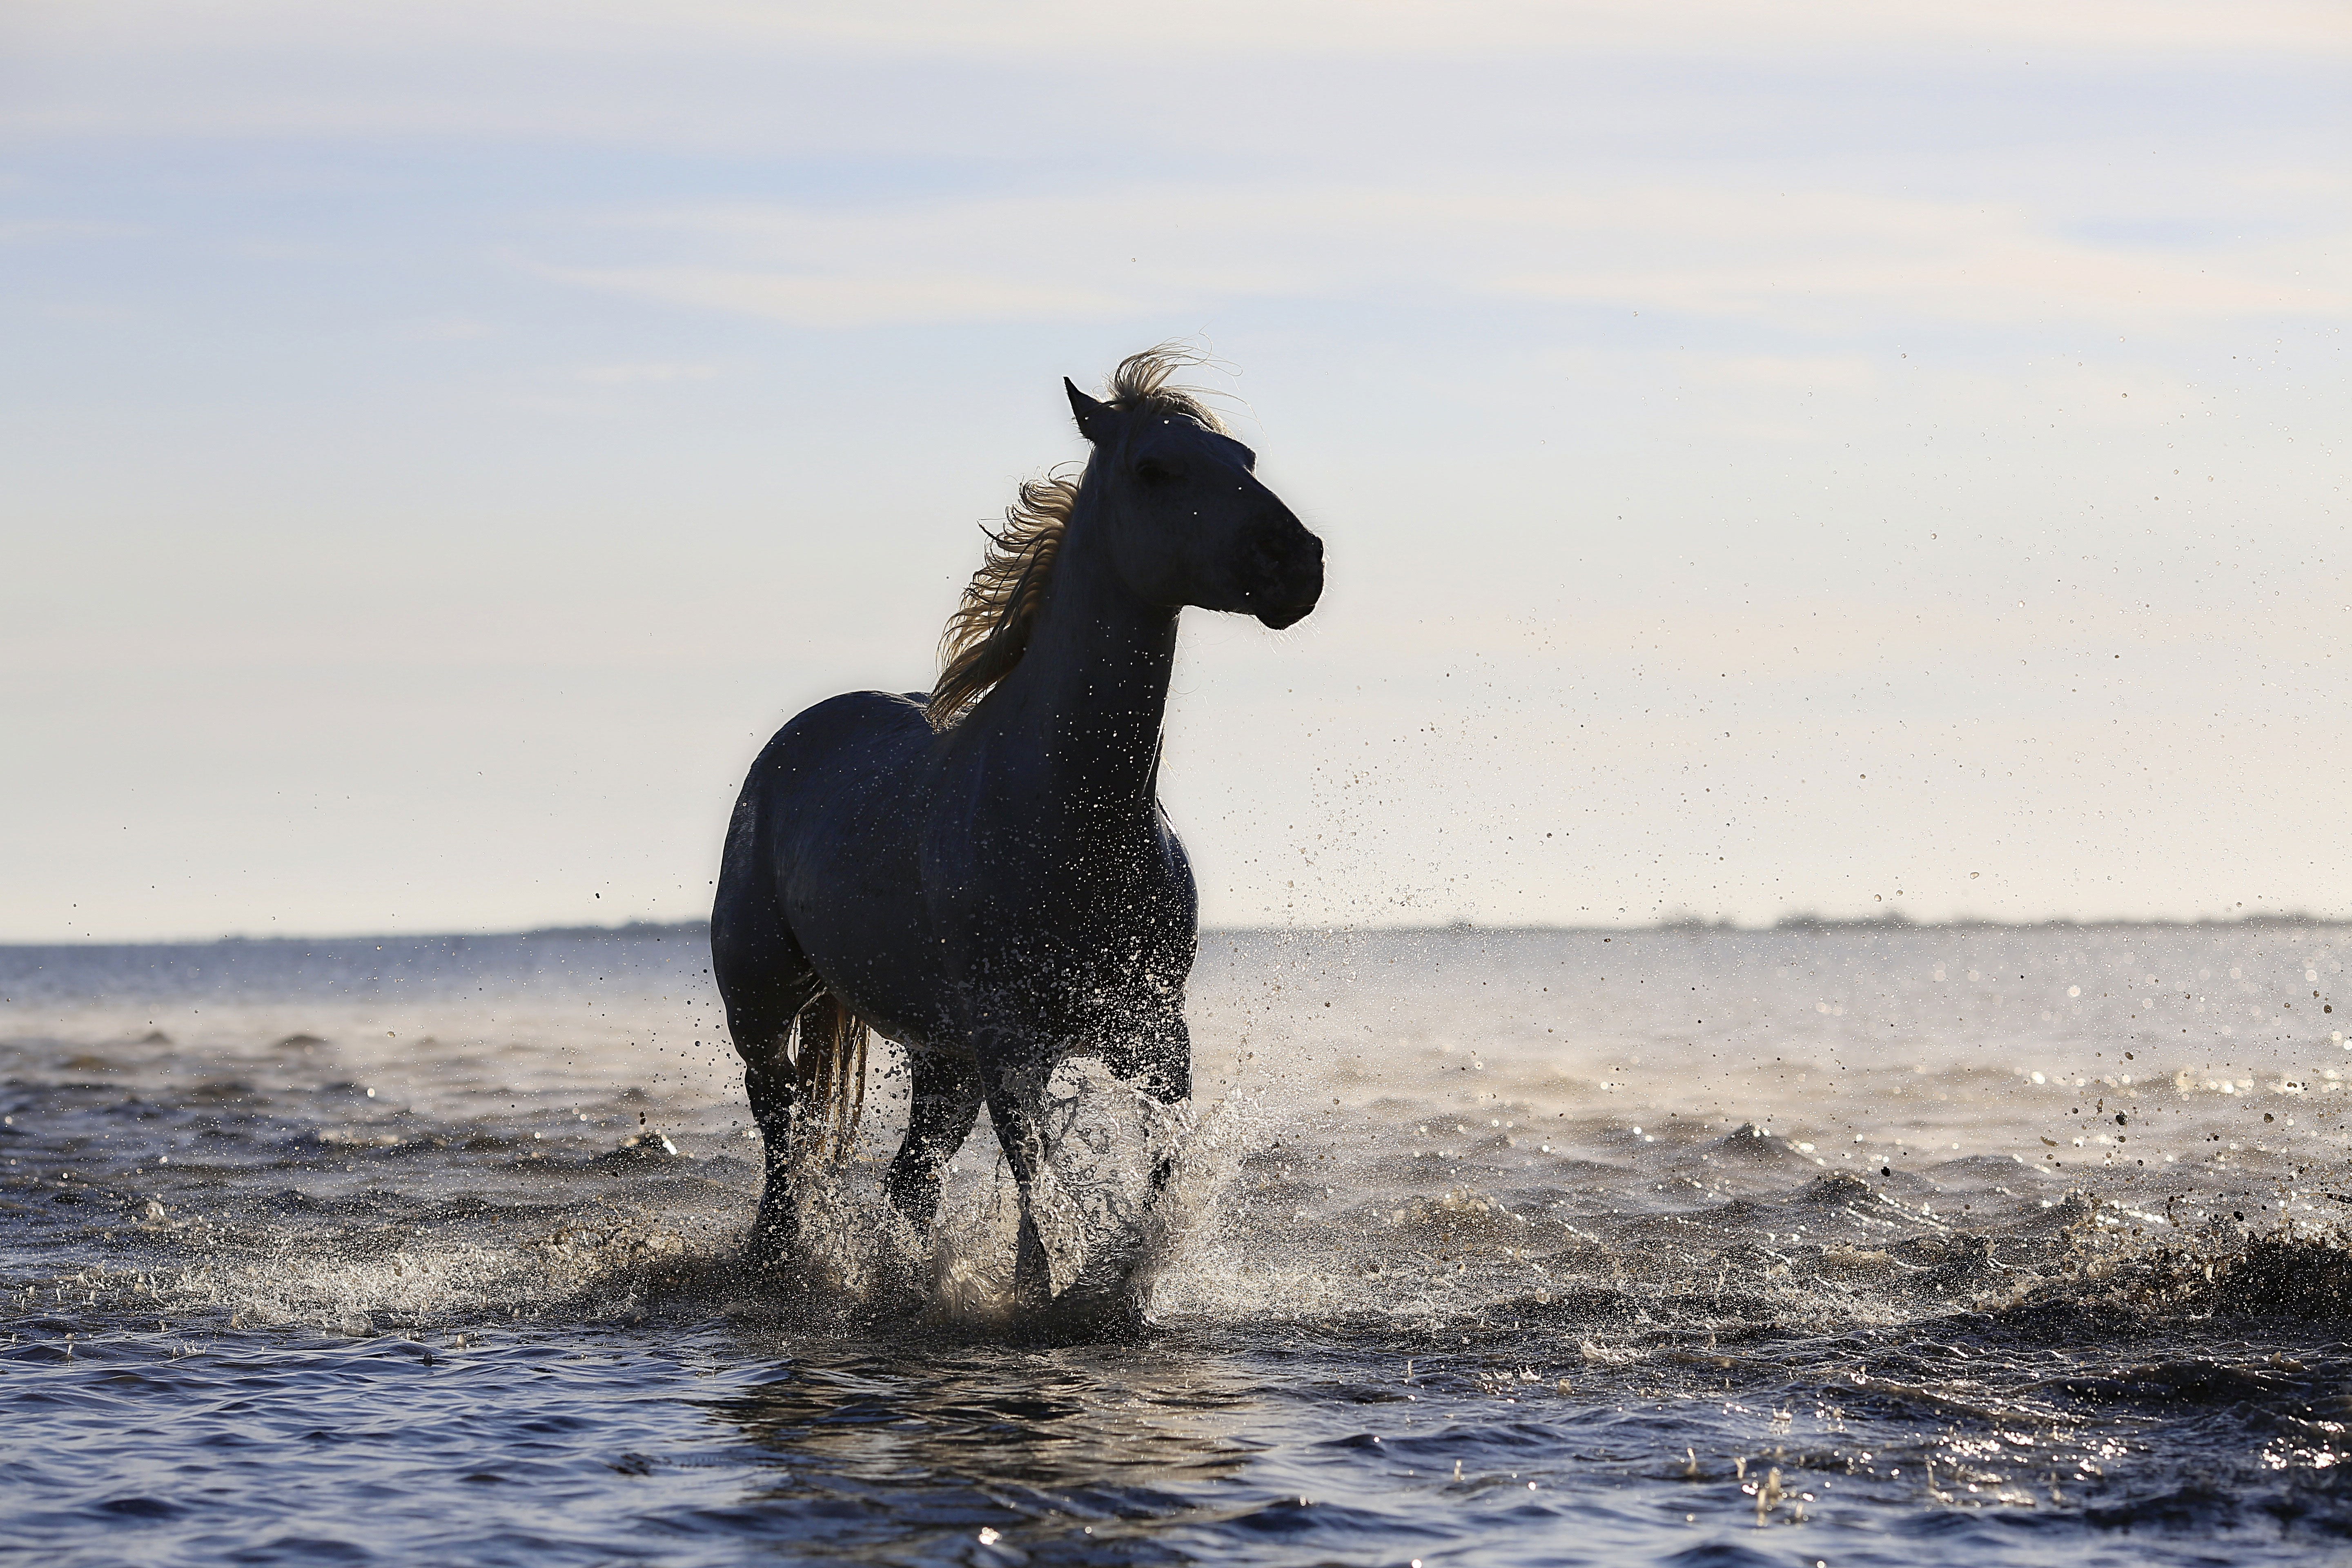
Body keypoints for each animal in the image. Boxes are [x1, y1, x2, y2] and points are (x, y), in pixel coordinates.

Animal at [711, 347, 1324, 1316]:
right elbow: (1039, 1184)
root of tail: (793, 741)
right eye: (1156, 468)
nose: (1298, 563)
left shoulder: (1154, 1034)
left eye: (1246, 459)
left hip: (941, 1059)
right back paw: (778, 1265)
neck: (1073, 816)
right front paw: (1046, 1293)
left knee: (909, 1180)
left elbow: (1157, 1169)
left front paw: (1121, 1287)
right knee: (785, 1148)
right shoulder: (1012, 1045)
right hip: (765, 1005)